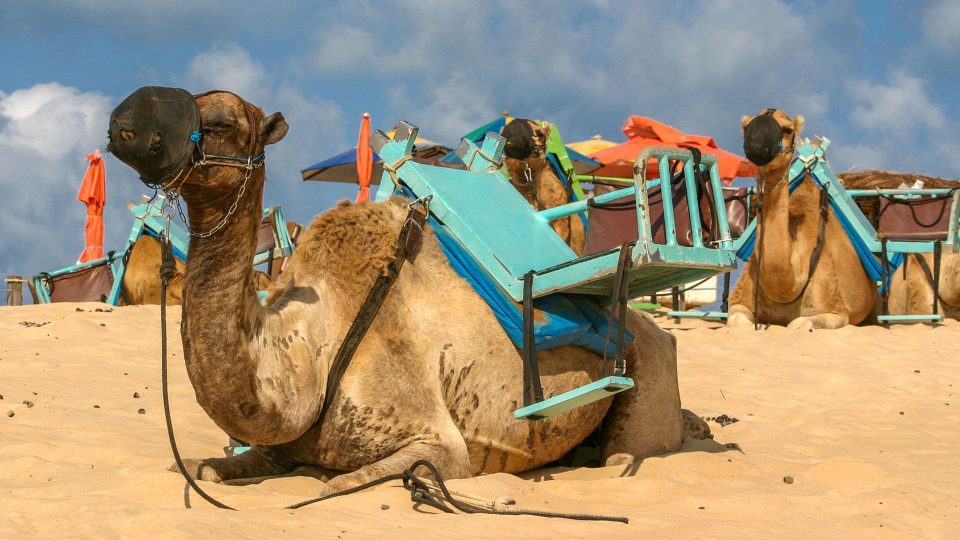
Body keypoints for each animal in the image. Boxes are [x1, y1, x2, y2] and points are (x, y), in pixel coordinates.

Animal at [728, 108, 876, 330]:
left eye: (788, 129)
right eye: (747, 127)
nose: (756, 147)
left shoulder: (836, 311)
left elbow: (798, 324)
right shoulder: (741, 300)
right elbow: (737, 322)